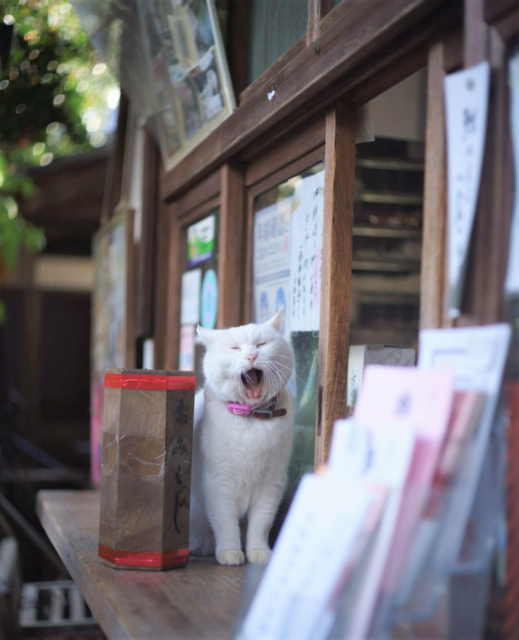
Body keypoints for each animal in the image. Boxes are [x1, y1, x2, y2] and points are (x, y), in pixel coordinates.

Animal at [191, 310, 296, 564]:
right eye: (235, 348)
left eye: (262, 344)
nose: (251, 356)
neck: (252, 419)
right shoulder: (219, 483)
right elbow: (226, 523)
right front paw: (230, 553)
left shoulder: (272, 485)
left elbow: (261, 524)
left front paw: (259, 552)